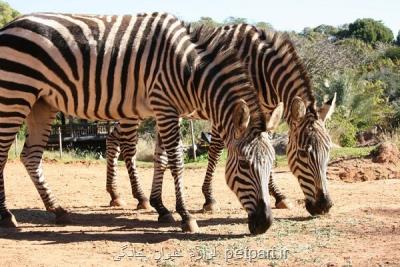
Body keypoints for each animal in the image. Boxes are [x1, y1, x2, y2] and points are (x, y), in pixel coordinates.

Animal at [0, 12, 282, 234]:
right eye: (244, 164)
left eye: (272, 164)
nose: (265, 224)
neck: (188, 70)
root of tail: (9, 25)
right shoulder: (164, 105)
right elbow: (176, 160)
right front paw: (185, 216)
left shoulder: (168, 110)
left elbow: (162, 158)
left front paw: (163, 209)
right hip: (15, 94)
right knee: (4, 154)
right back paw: (6, 216)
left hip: (41, 103)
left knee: (31, 156)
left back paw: (57, 209)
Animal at [104, 23, 336, 218]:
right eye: (303, 154)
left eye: (328, 152)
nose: (324, 206)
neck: (260, 66)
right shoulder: (229, 110)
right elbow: (216, 150)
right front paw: (209, 199)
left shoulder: (264, 115)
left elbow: (265, 147)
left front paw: (278, 195)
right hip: (133, 110)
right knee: (127, 146)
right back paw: (140, 197)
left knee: (112, 139)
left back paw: (115, 194)